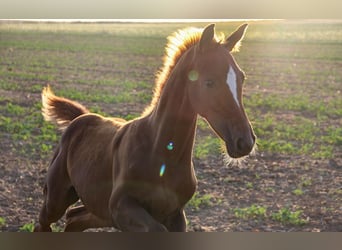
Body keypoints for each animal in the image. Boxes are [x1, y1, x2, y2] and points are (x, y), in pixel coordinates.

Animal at [34, 23, 255, 232]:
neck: (161, 152)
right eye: (209, 82)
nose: (245, 141)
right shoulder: (120, 207)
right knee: (44, 223)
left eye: (242, 77)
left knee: (74, 219)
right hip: (57, 198)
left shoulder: (175, 214)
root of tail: (81, 117)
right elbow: (157, 229)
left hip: (99, 210)